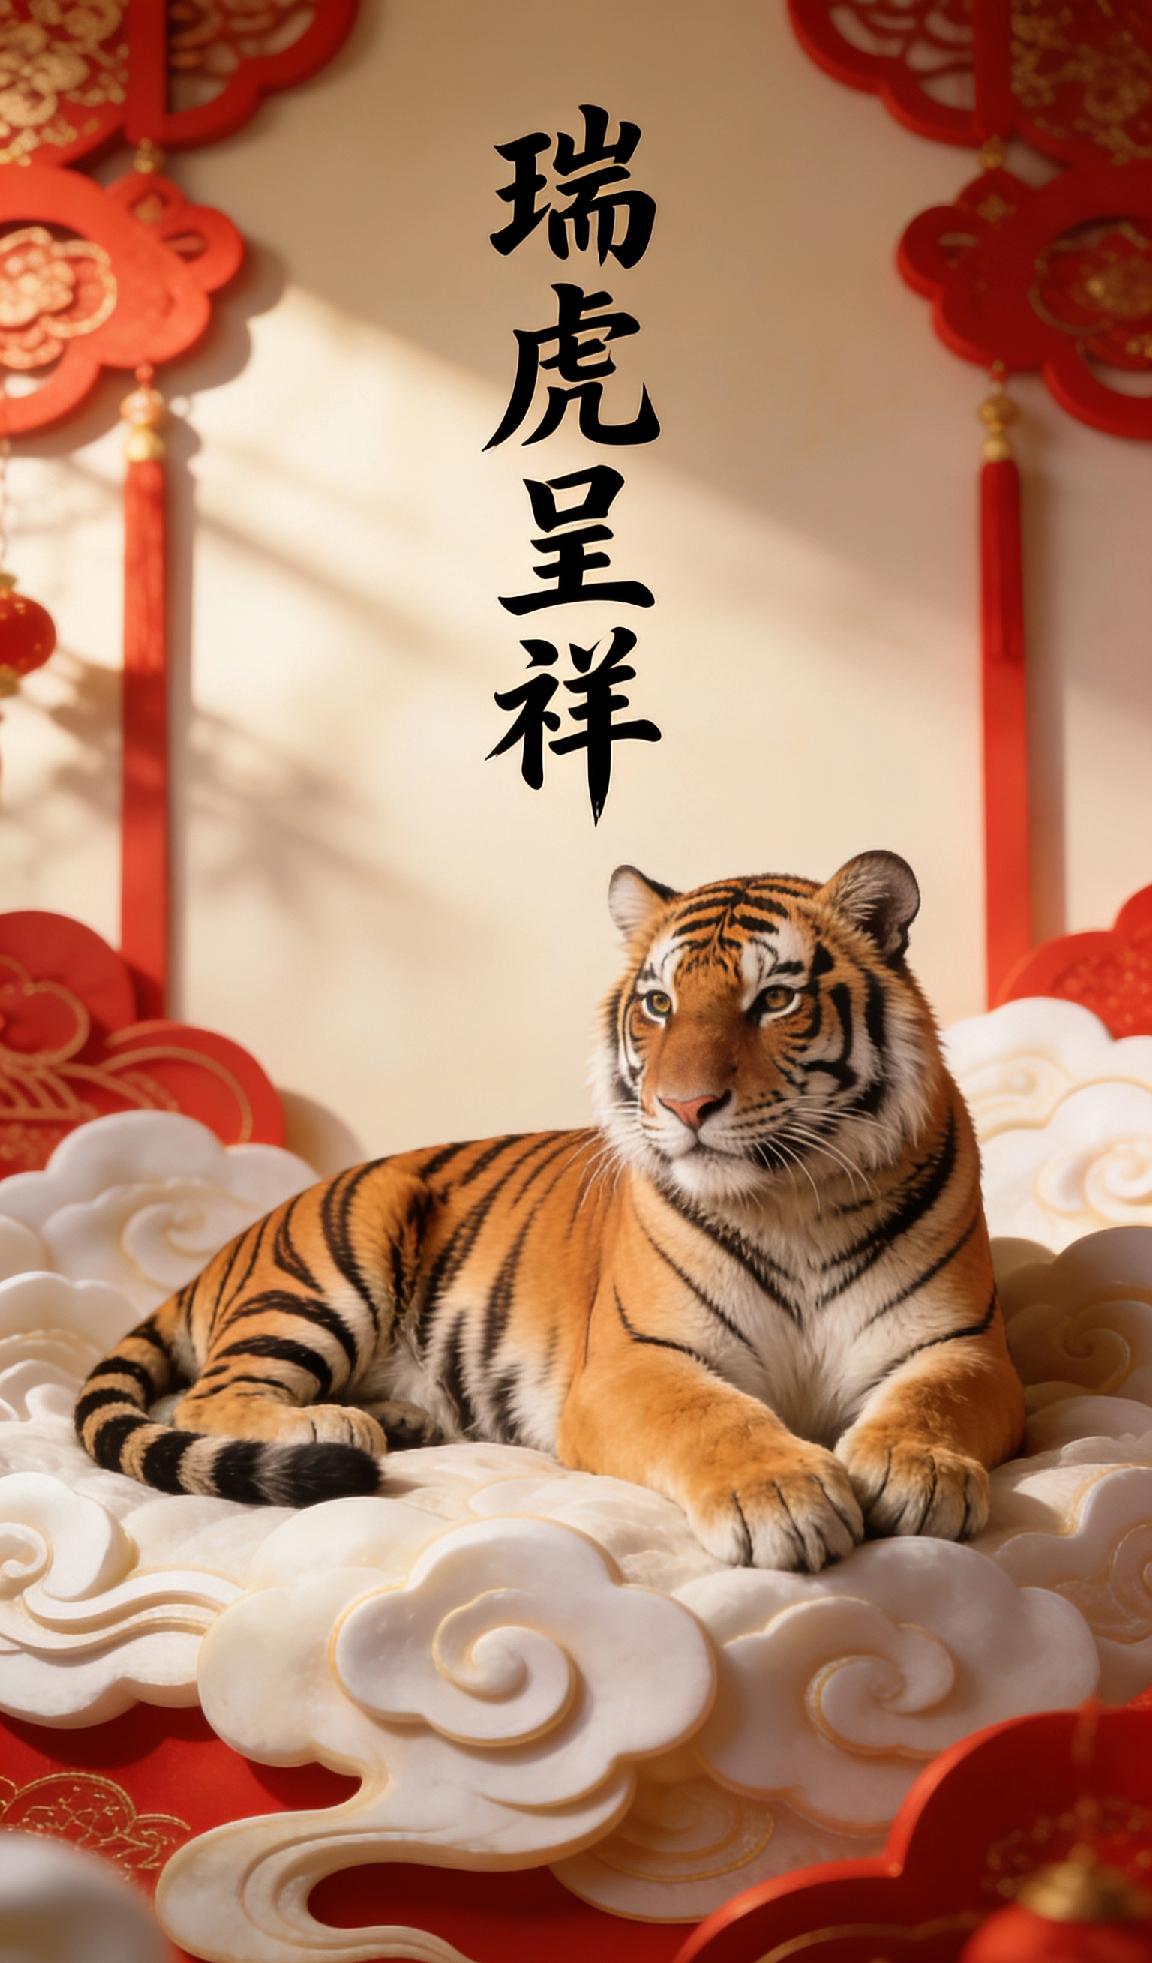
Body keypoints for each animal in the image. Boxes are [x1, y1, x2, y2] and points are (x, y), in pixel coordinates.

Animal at [75, 850, 1025, 1572]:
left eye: (775, 1000)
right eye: (659, 1003)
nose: (685, 1105)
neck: (790, 1198)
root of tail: (226, 1248)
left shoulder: (964, 1346)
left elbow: (932, 1402)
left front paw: (916, 1471)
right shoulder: (633, 1362)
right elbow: (714, 1416)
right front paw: (781, 1497)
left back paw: (401, 1418)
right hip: (334, 1263)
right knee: (205, 1395)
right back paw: (333, 1422)